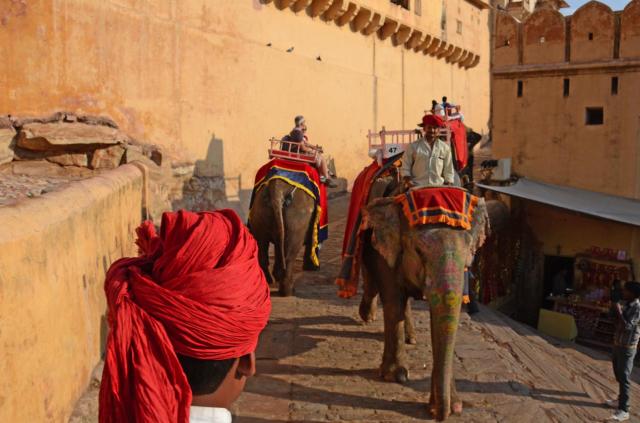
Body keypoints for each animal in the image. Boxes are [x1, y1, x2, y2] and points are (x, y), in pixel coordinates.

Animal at [358, 185, 489, 421]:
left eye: (469, 252)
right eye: (418, 251)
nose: (439, 415)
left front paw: (454, 406)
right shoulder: (385, 250)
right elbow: (393, 303)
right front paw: (396, 376)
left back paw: (411, 337)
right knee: (374, 282)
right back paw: (367, 315)